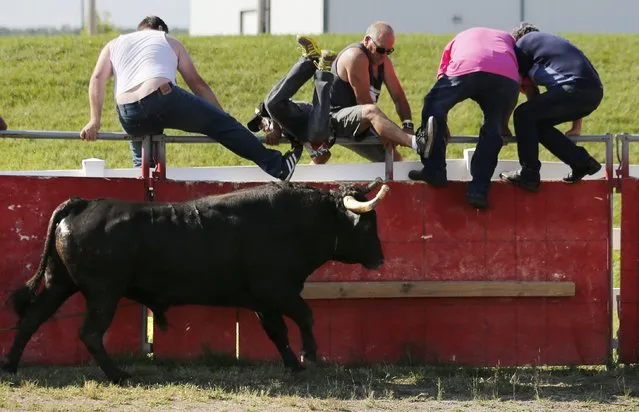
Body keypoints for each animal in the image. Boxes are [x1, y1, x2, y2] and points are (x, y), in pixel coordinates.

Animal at [1, 180, 390, 384]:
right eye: (368, 224)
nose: (380, 258)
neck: (297, 222)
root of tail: (80, 203)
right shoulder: (277, 291)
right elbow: (305, 316)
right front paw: (310, 356)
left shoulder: (264, 301)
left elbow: (277, 332)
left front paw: (293, 364)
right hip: (103, 293)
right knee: (90, 333)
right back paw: (120, 374)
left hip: (59, 283)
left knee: (32, 319)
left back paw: (10, 365)